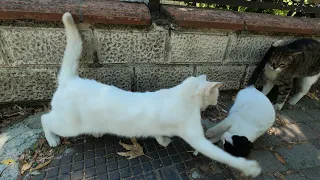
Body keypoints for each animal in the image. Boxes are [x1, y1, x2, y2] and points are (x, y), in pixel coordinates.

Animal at [42, 12, 260, 177]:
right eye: (216, 95)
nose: (215, 102)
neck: (183, 95)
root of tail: (71, 79)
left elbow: (158, 133)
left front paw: (163, 141)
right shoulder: (195, 137)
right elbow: (222, 155)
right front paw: (249, 167)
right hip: (69, 126)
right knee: (46, 119)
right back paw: (52, 139)